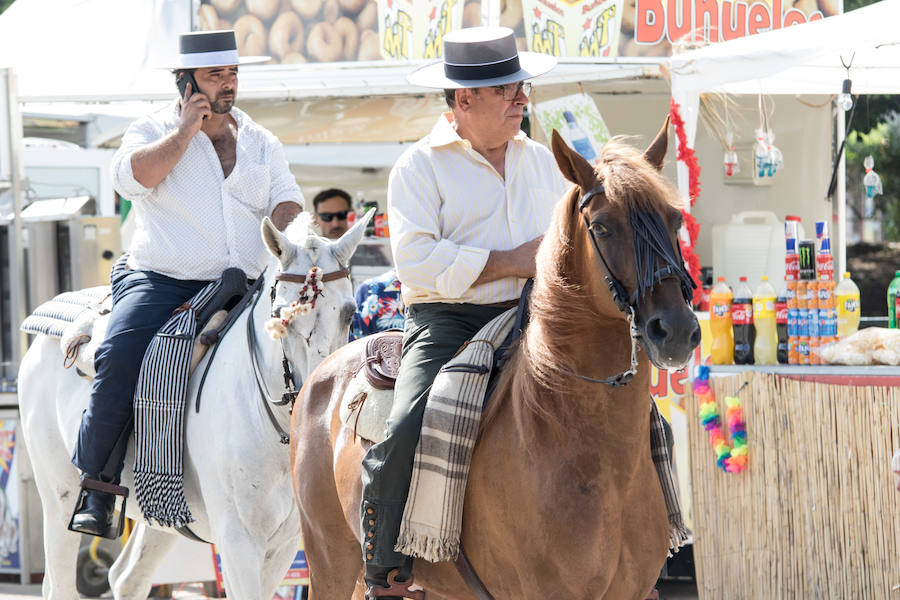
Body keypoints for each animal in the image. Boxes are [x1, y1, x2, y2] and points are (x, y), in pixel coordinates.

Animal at [18, 212, 370, 600]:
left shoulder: (284, 545)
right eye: (281, 315)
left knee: (127, 578)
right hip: (58, 498)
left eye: (350, 314)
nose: (317, 400)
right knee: (61, 580)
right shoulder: (239, 541)